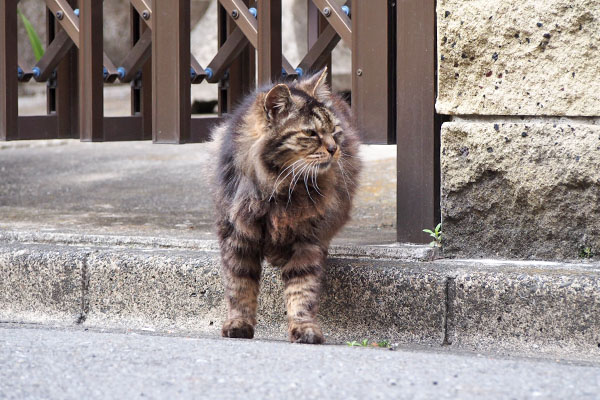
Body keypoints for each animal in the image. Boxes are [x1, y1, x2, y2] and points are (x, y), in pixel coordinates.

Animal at [211, 69, 360, 344]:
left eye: (334, 130)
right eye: (311, 134)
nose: (334, 149)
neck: (281, 188)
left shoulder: (308, 240)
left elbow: (302, 289)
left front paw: (304, 328)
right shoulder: (236, 235)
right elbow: (240, 286)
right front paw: (239, 324)